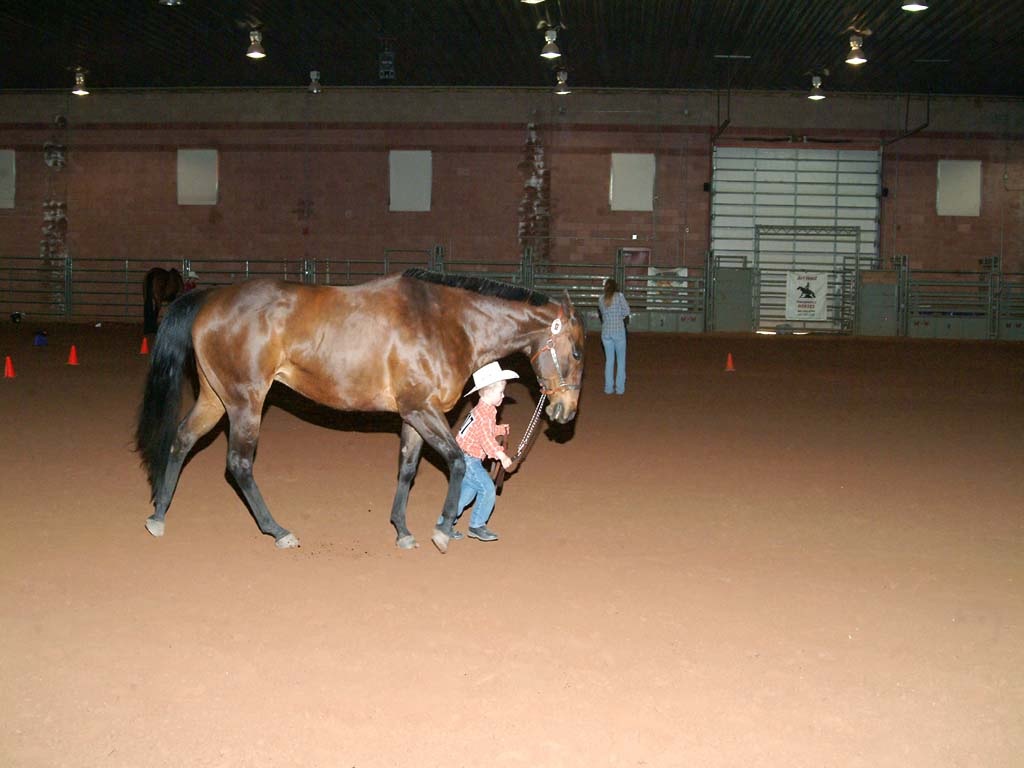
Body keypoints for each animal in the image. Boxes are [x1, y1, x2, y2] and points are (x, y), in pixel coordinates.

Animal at [134, 269, 585, 554]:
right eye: (578, 352)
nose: (564, 411)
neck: (446, 323)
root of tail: (210, 297)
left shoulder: (413, 416)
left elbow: (408, 469)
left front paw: (402, 530)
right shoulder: (423, 410)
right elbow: (457, 461)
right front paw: (442, 528)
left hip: (215, 397)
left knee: (182, 439)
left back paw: (159, 514)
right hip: (246, 402)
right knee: (239, 464)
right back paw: (277, 530)